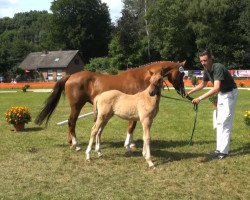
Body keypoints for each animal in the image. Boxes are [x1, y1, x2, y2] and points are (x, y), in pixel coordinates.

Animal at [36, 60, 187, 150]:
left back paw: (71, 142)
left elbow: (132, 126)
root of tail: (70, 76)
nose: (183, 91)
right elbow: (131, 126)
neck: (141, 78)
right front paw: (128, 144)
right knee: (71, 122)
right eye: (181, 74)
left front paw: (131, 143)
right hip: (77, 106)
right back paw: (76, 144)